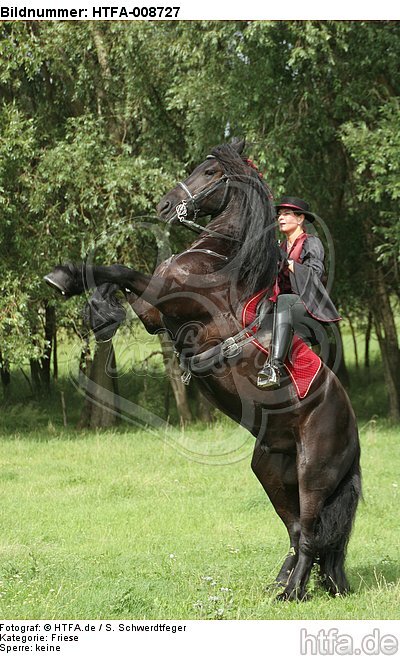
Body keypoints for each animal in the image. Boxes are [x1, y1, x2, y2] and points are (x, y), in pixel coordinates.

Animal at [44, 140, 361, 601]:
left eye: (210, 172)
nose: (164, 205)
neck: (218, 260)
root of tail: (353, 430)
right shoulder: (154, 312)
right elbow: (114, 278)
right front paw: (98, 311)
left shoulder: (168, 296)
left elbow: (119, 270)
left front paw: (64, 277)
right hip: (271, 466)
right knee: (297, 529)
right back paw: (280, 585)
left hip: (313, 473)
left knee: (310, 535)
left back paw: (291, 593)